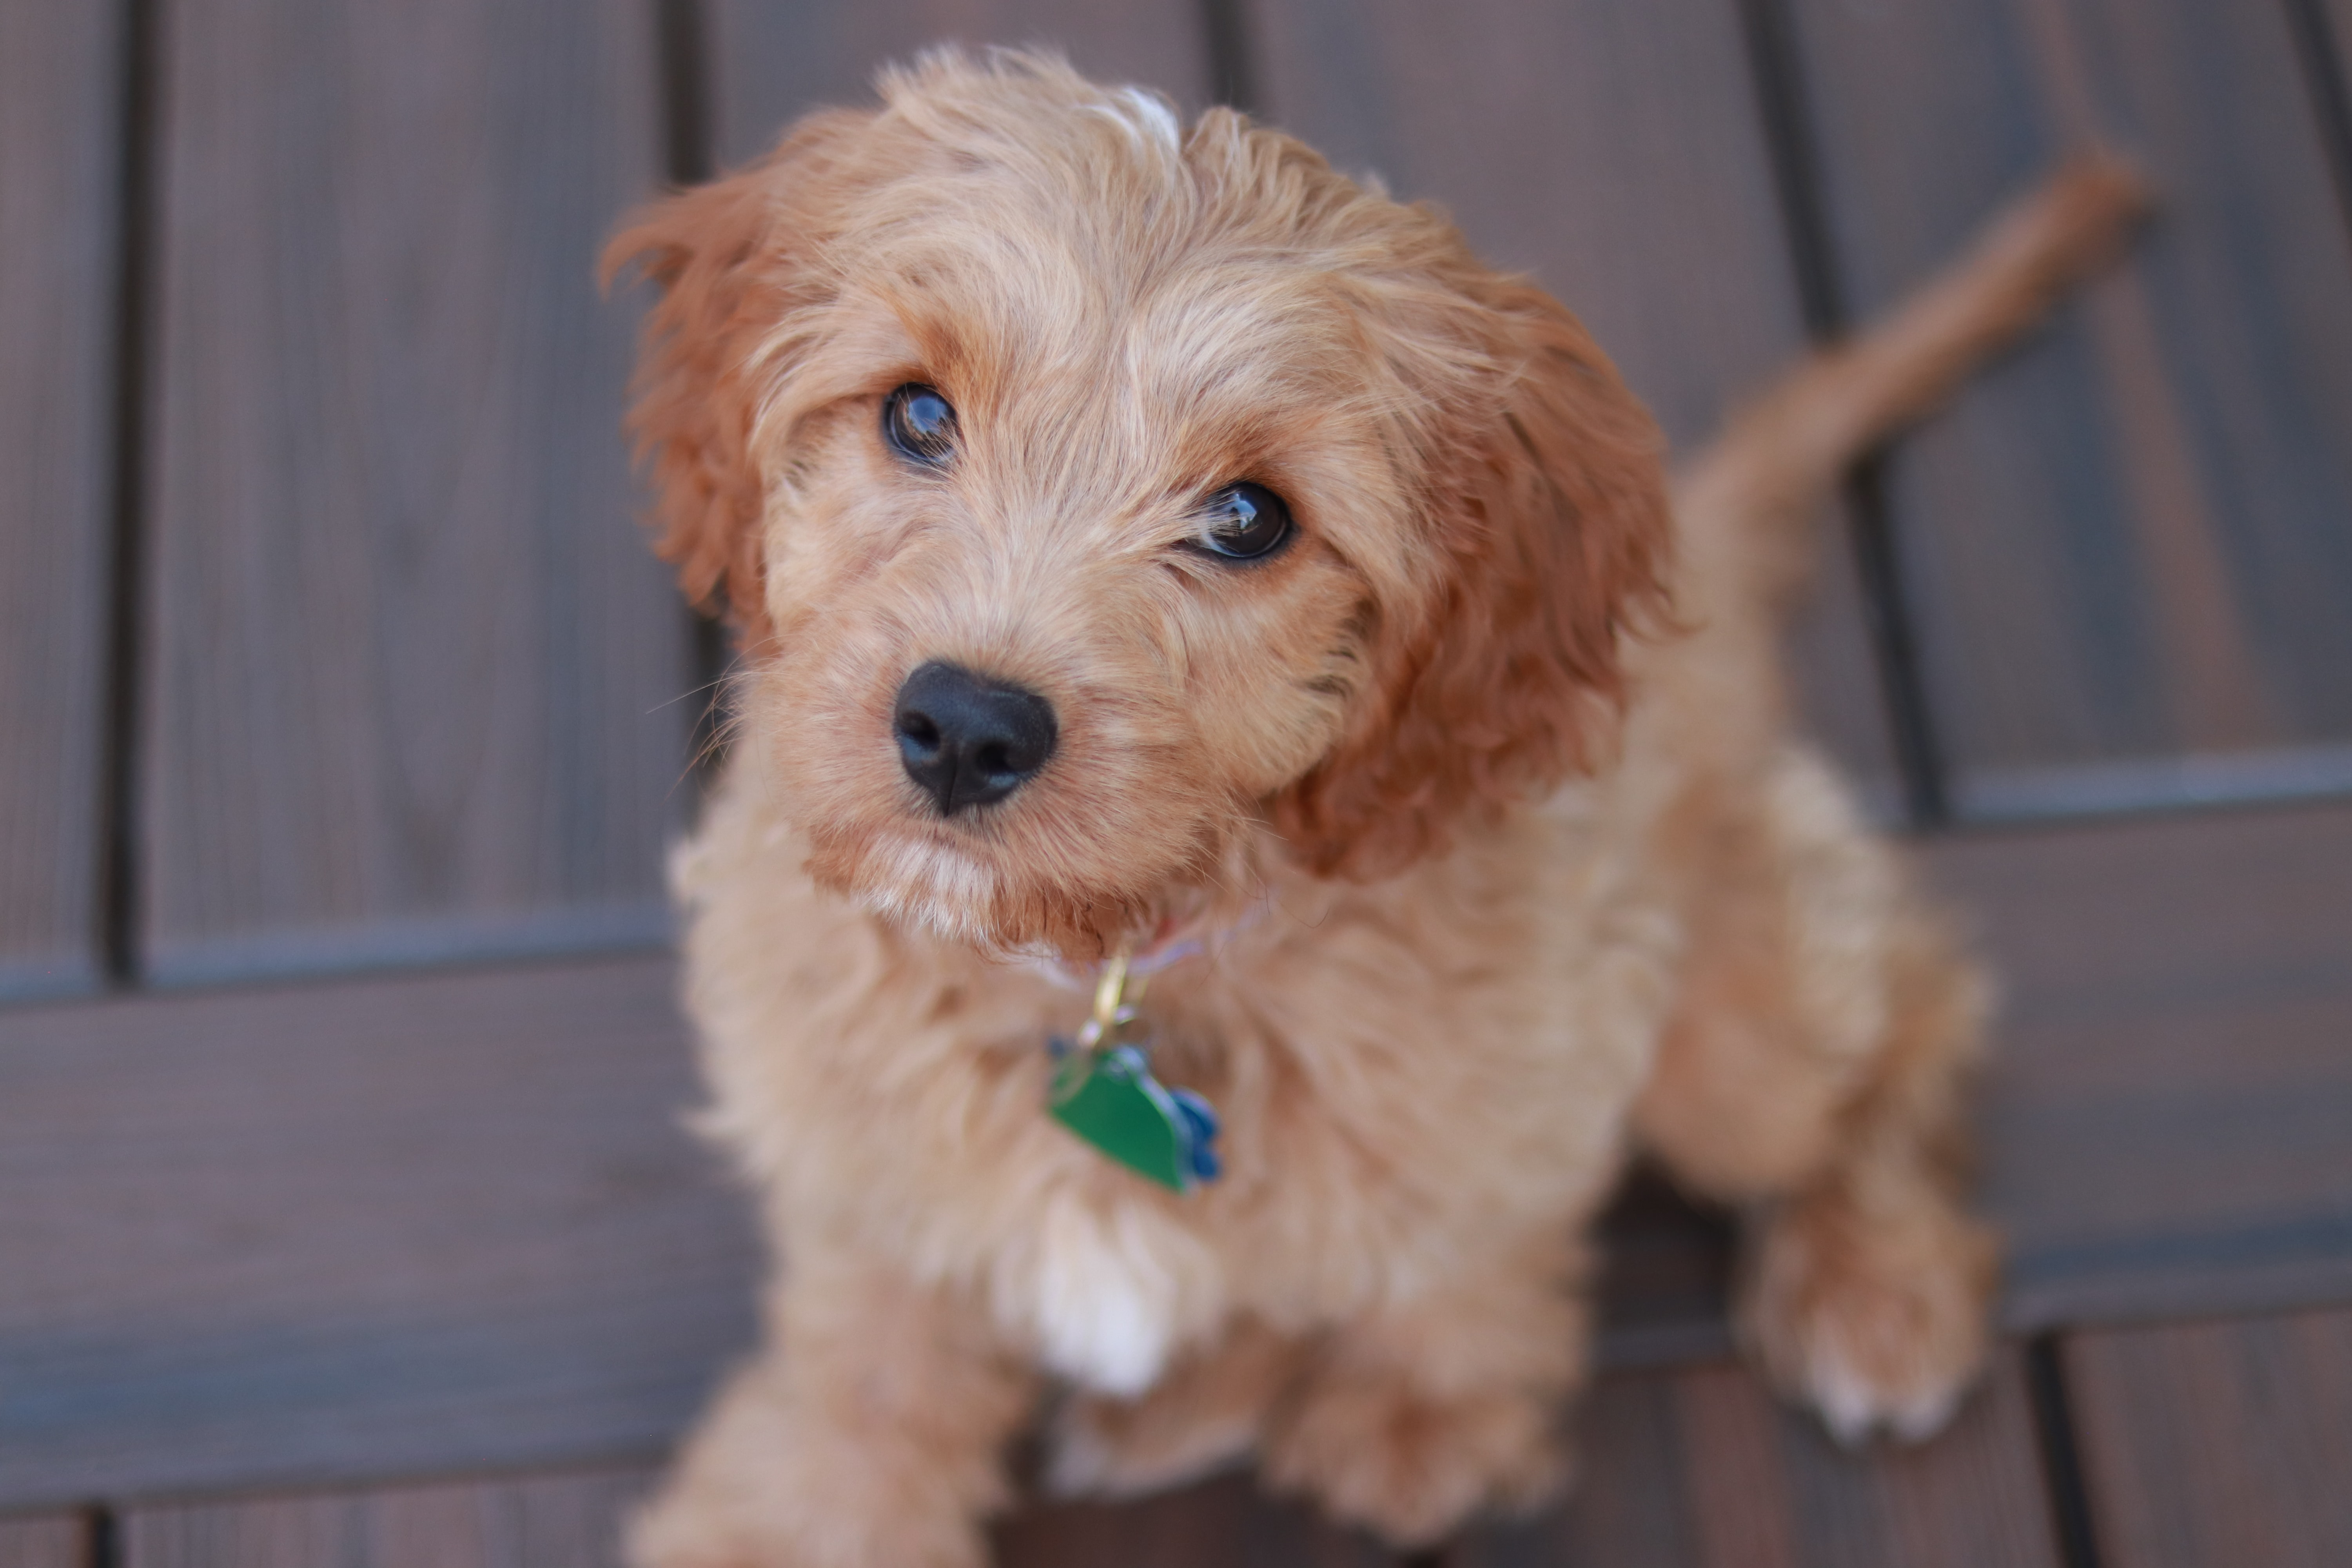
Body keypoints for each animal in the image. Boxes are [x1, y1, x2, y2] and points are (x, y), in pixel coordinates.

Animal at [607, 49, 2154, 1568]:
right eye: (917, 414)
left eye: (1248, 519)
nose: (965, 728)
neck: (1105, 967)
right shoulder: (852, 1157)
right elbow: (869, 1362)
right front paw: (803, 1517)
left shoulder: (1539, 1045)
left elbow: (1473, 1246)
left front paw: (1425, 1411)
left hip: (1738, 1036)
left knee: (1909, 1000)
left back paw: (1876, 1281)